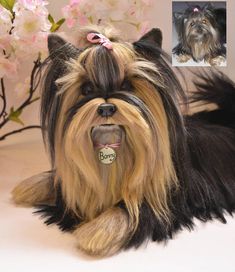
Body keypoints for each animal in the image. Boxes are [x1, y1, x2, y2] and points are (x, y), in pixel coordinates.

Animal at [11, 25, 235, 258]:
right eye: (87, 89)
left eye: (127, 85)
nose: (106, 108)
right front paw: (31, 185)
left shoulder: (169, 197)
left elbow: (133, 209)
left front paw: (98, 231)